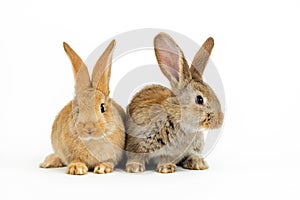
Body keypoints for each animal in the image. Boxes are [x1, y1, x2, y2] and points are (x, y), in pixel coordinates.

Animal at [40, 39, 125, 174]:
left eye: (102, 107)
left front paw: (103, 168)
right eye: (78, 109)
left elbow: (109, 161)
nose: (89, 128)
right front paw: (76, 168)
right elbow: (74, 160)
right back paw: (48, 162)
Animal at [124, 32, 223, 173]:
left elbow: (165, 159)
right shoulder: (136, 142)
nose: (219, 122)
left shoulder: (171, 153)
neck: (176, 115)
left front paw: (167, 168)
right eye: (199, 99)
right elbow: (135, 156)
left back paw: (198, 162)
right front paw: (135, 167)